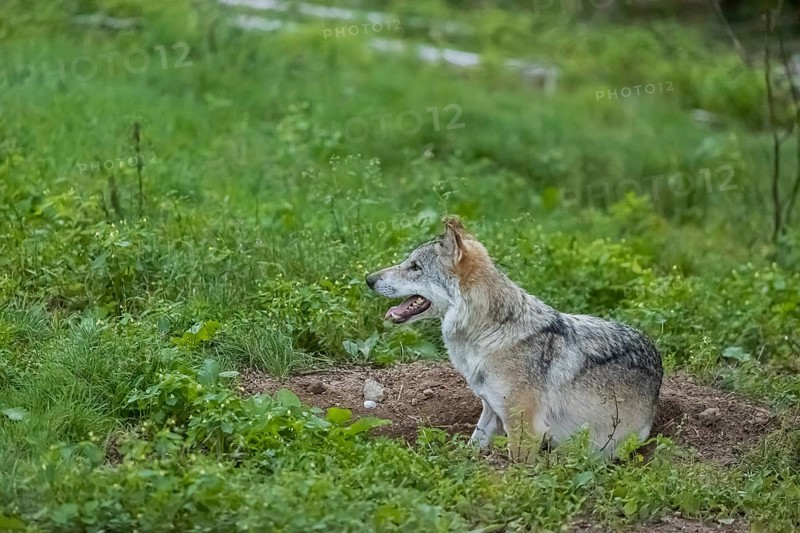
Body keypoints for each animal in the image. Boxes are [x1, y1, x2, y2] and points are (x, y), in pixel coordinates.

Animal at [366, 217, 662, 458]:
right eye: (408, 262)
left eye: (414, 267)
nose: (368, 279)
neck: (491, 337)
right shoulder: (491, 411)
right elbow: (472, 447)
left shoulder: (525, 430)